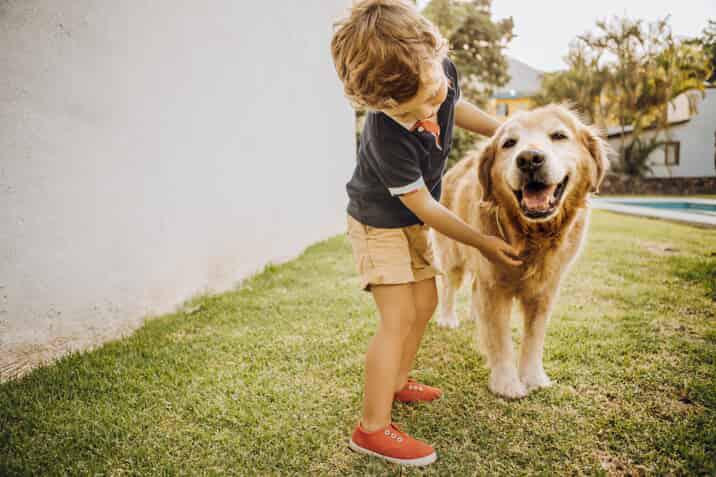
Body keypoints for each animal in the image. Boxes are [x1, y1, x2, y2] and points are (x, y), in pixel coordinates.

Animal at [430, 104, 608, 398]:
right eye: (509, 143)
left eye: (559, 135)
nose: (529, 159)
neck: (532, 235)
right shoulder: (493, 285)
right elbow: (500, 338)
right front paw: (507, 383)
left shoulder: (545, 289)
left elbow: (534, 337)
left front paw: (534, 377)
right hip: (453, 252)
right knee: (450, 286)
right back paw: (447, 317)